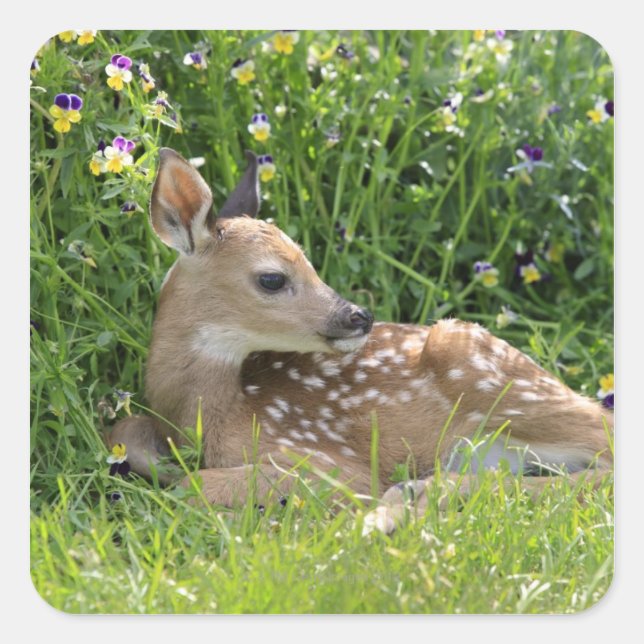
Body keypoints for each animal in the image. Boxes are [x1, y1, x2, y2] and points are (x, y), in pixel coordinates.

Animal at [108, 147, 613, 534]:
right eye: (272, 278)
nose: (359, 316)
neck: (209, 417)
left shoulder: (331, 461)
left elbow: (190, 487)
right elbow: (129, 433)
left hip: (492, 373)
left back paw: (401, 504)